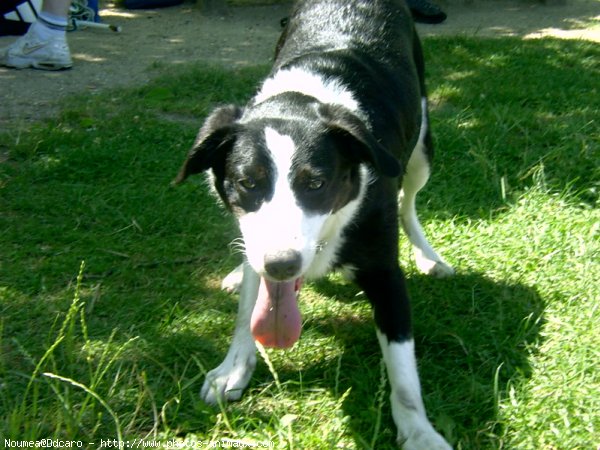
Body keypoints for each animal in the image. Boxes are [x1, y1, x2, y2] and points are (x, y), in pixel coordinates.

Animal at [176, 1, 452, 448]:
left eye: (316, 183)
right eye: (247, 182)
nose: (282, 264)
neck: (299, 102)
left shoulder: (385, 272)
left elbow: (404, 371)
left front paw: (420, 432)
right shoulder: (259, 246)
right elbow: (248, 308)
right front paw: (233, 367)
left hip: (422, 149)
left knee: (409, 201)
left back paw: (429, 257)